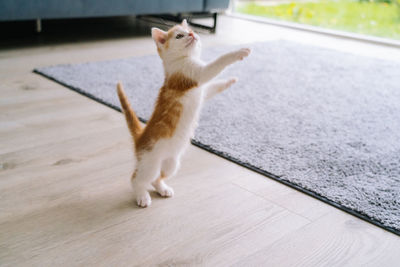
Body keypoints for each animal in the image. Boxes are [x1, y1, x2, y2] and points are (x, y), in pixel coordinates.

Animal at [116, 19, 250, 208]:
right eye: (179, 36)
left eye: (191, 30)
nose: (193, 34)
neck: (180, 61)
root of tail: (140, 137)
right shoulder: (195, 74)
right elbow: (217, 64)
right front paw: (238, 53)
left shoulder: (202, 91)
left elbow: (212, 88)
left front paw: (229, 81)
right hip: (150, 163)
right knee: (137, 179)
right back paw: (142, 196)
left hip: (171, 163)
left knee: (157, 178)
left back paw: (163, 188)